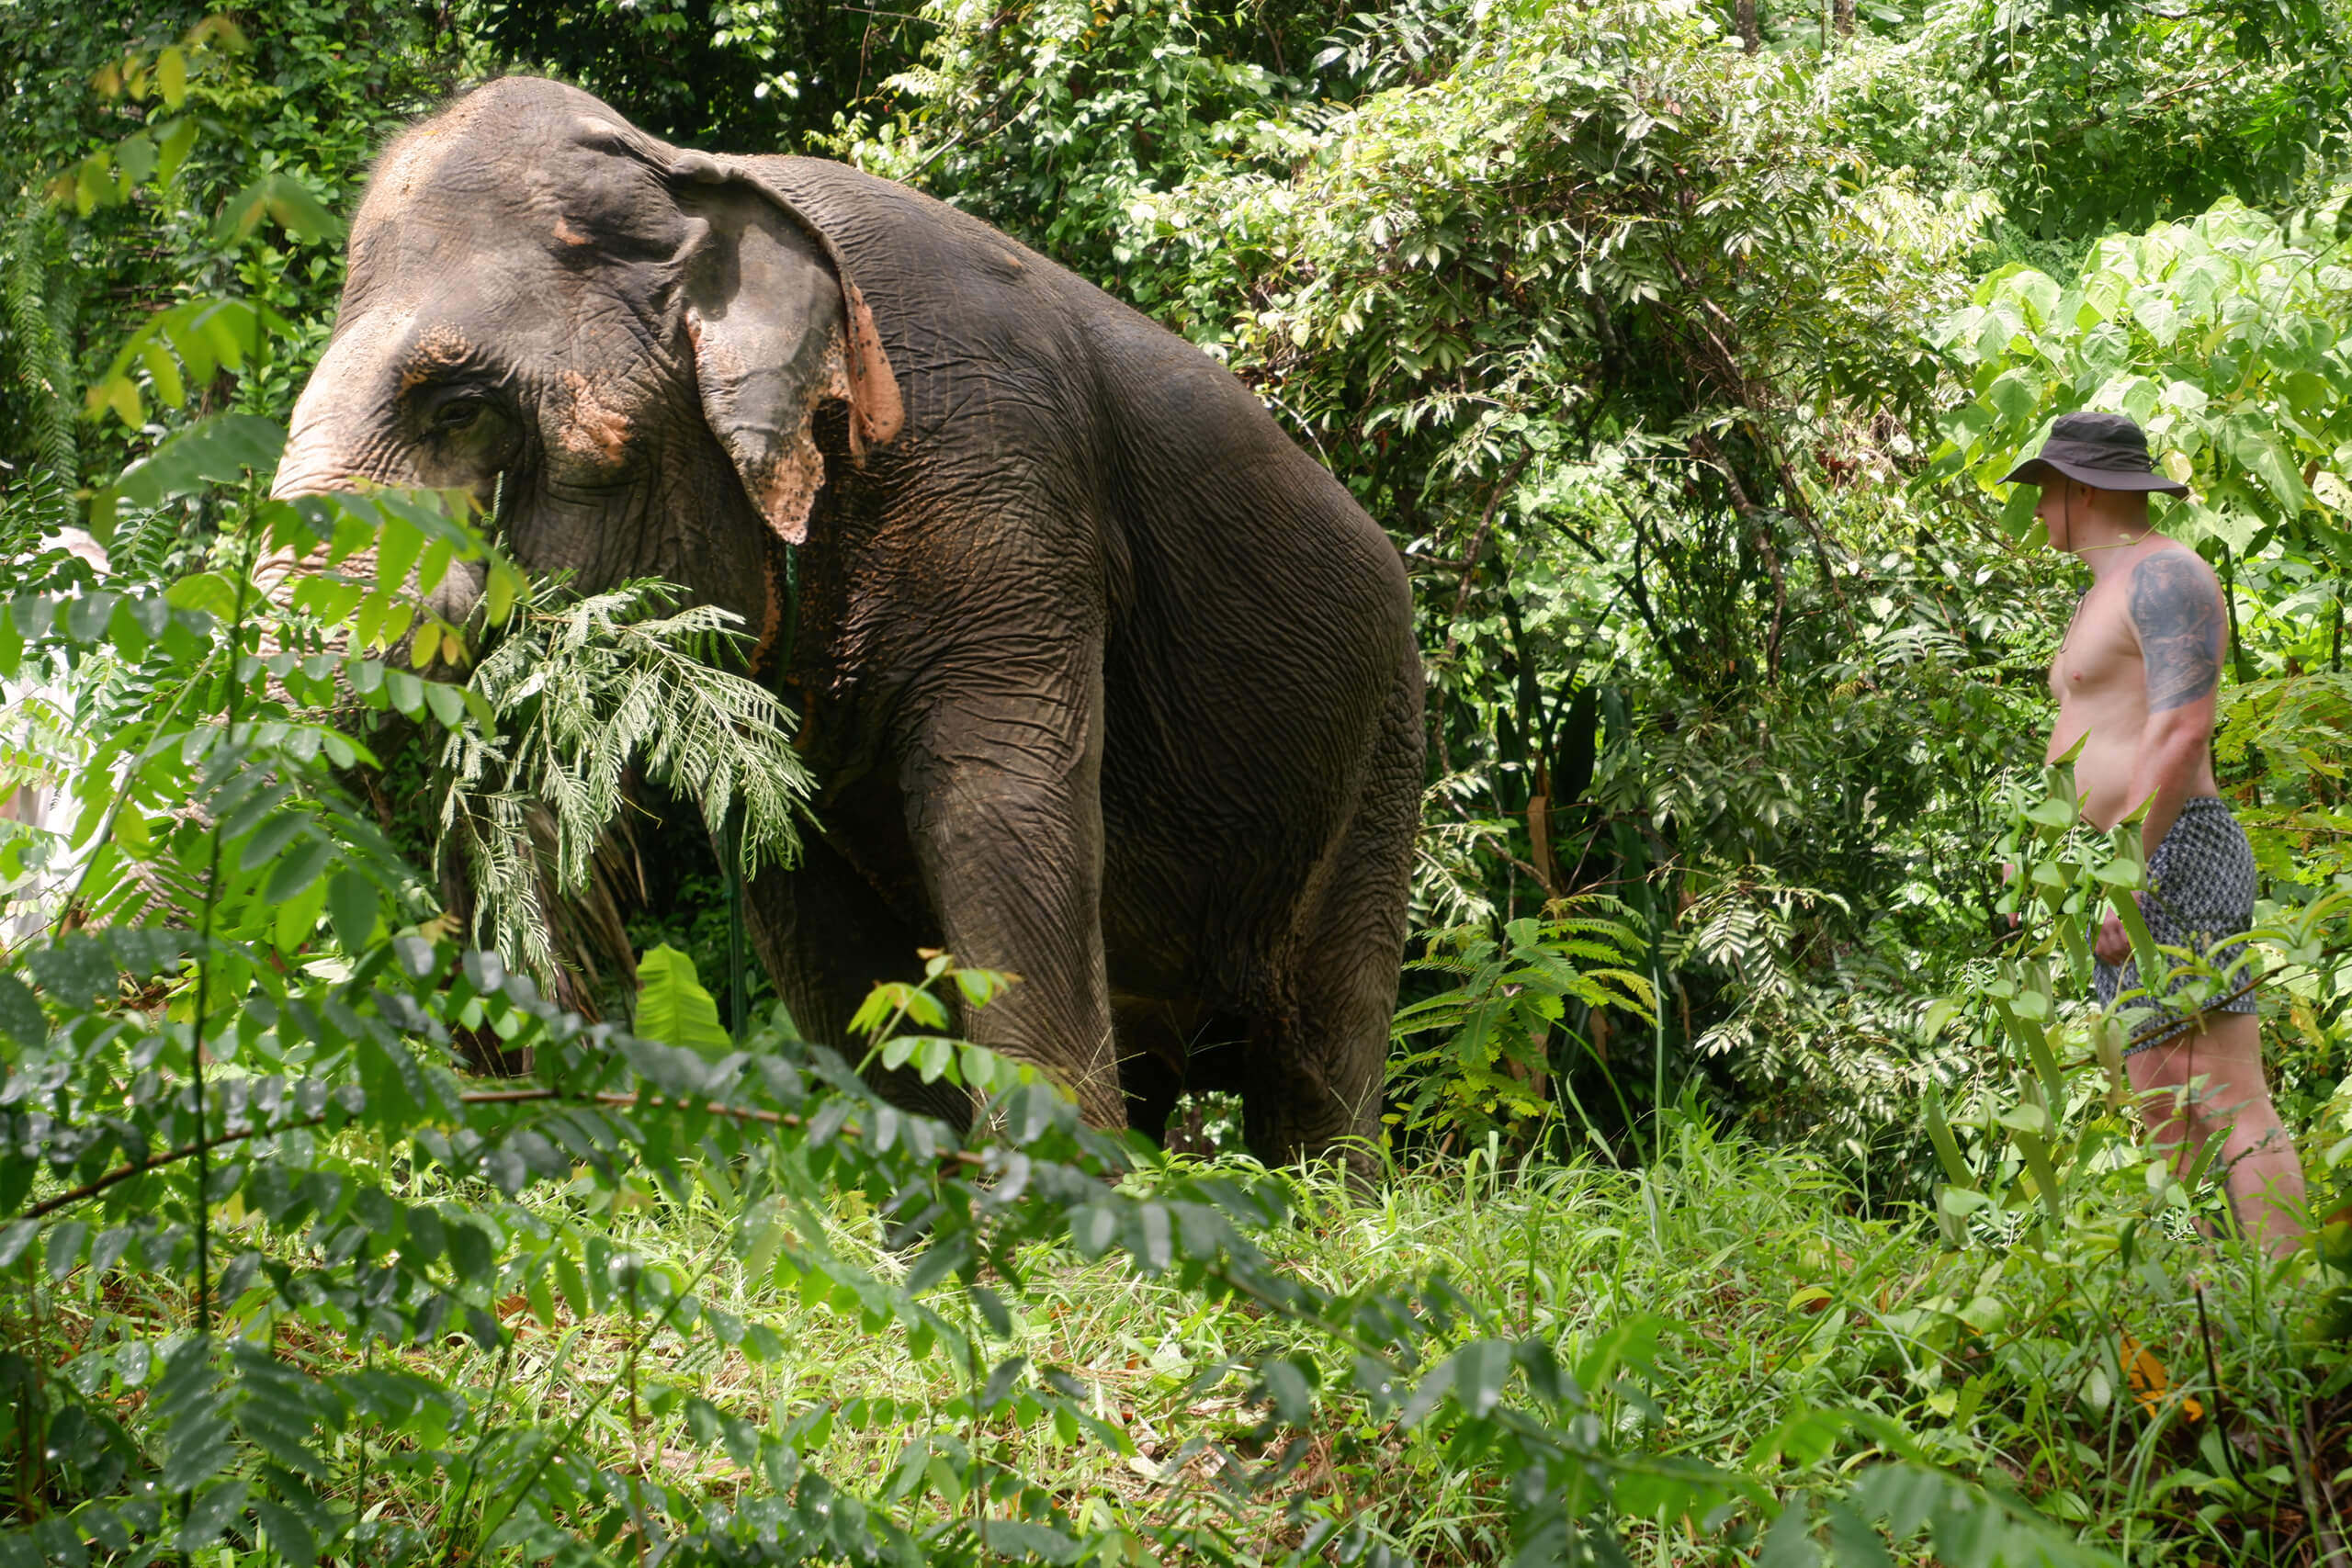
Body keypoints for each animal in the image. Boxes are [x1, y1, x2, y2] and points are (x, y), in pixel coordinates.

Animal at [272, 76, 1422, 1174]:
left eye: (459, 411)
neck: (694, 175)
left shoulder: (1008, 502)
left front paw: (1050, 1212)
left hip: (1382, 761)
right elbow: (806, 899)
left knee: (1321, 1061)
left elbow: (999, 813)